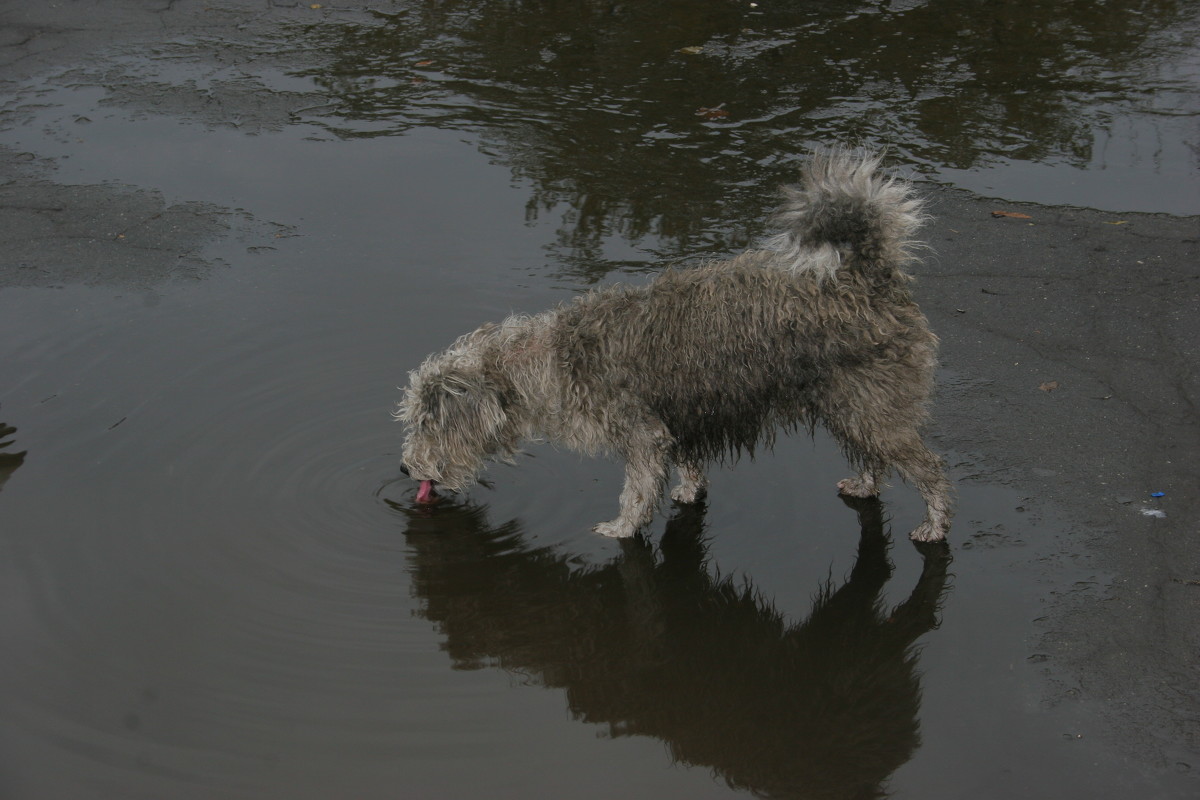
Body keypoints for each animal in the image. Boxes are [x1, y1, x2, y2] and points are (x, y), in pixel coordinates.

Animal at [398, 149, 950, 542]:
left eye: (428, 423)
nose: (404, 467)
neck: (549, 363)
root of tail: (868, 277)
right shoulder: (679, 419)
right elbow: (687, 464)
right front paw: (687, 490)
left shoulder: (643, 435)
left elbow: (638, 489)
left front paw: (622, 528)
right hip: (853, 408)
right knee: (874, 456)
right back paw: (866, 484)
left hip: (871, 408)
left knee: (929, 468)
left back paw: (935, 523)